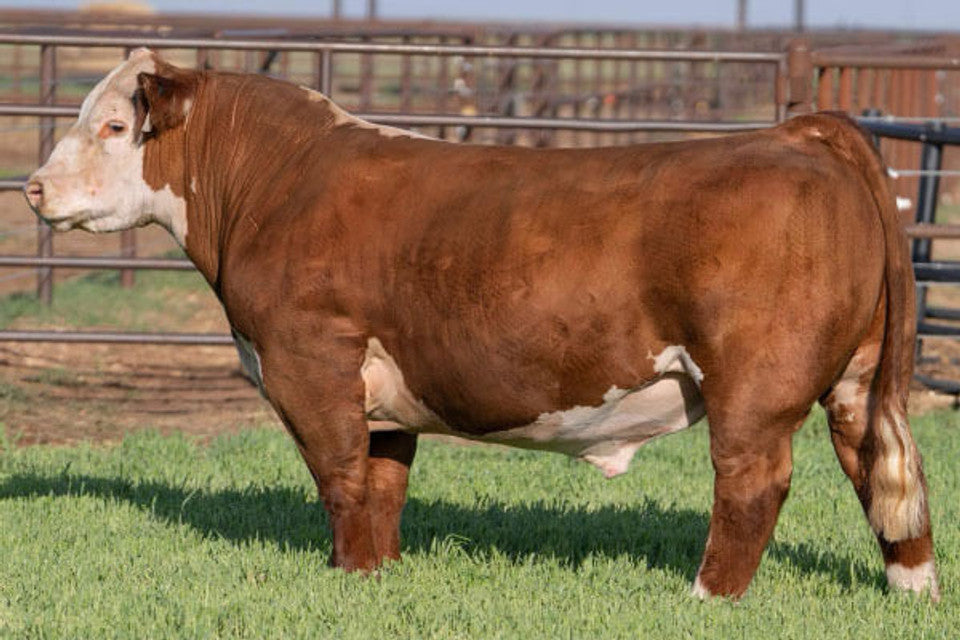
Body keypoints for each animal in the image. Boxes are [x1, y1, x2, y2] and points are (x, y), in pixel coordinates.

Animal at [24, 49, 938, 600]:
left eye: (113, 125)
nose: (32, 188)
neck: (274, 182)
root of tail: (796, 132)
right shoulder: (383, 389)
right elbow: (382, 483)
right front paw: (378, 578)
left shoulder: (308, 358)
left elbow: (340, 477)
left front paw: (348, 575)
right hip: (856, 378)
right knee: (880, 469)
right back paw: (912, 590)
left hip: (755, 381)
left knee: (753, 482)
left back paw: (705, 596)